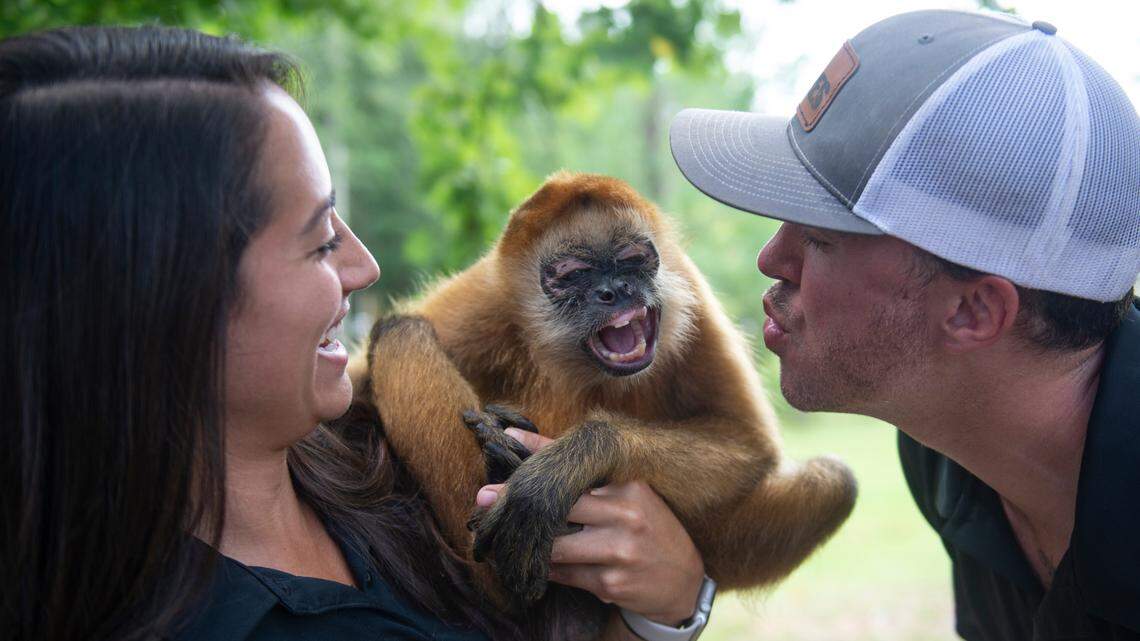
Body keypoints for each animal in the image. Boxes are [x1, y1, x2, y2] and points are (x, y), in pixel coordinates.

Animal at [348, 171, 857, 639]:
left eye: (634, 261)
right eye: (573, 275)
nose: (616, 290)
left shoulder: (687, 283)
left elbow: (750, 446)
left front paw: (575, 460)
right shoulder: (488, 295)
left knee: (836, 482)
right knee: (401, 332)